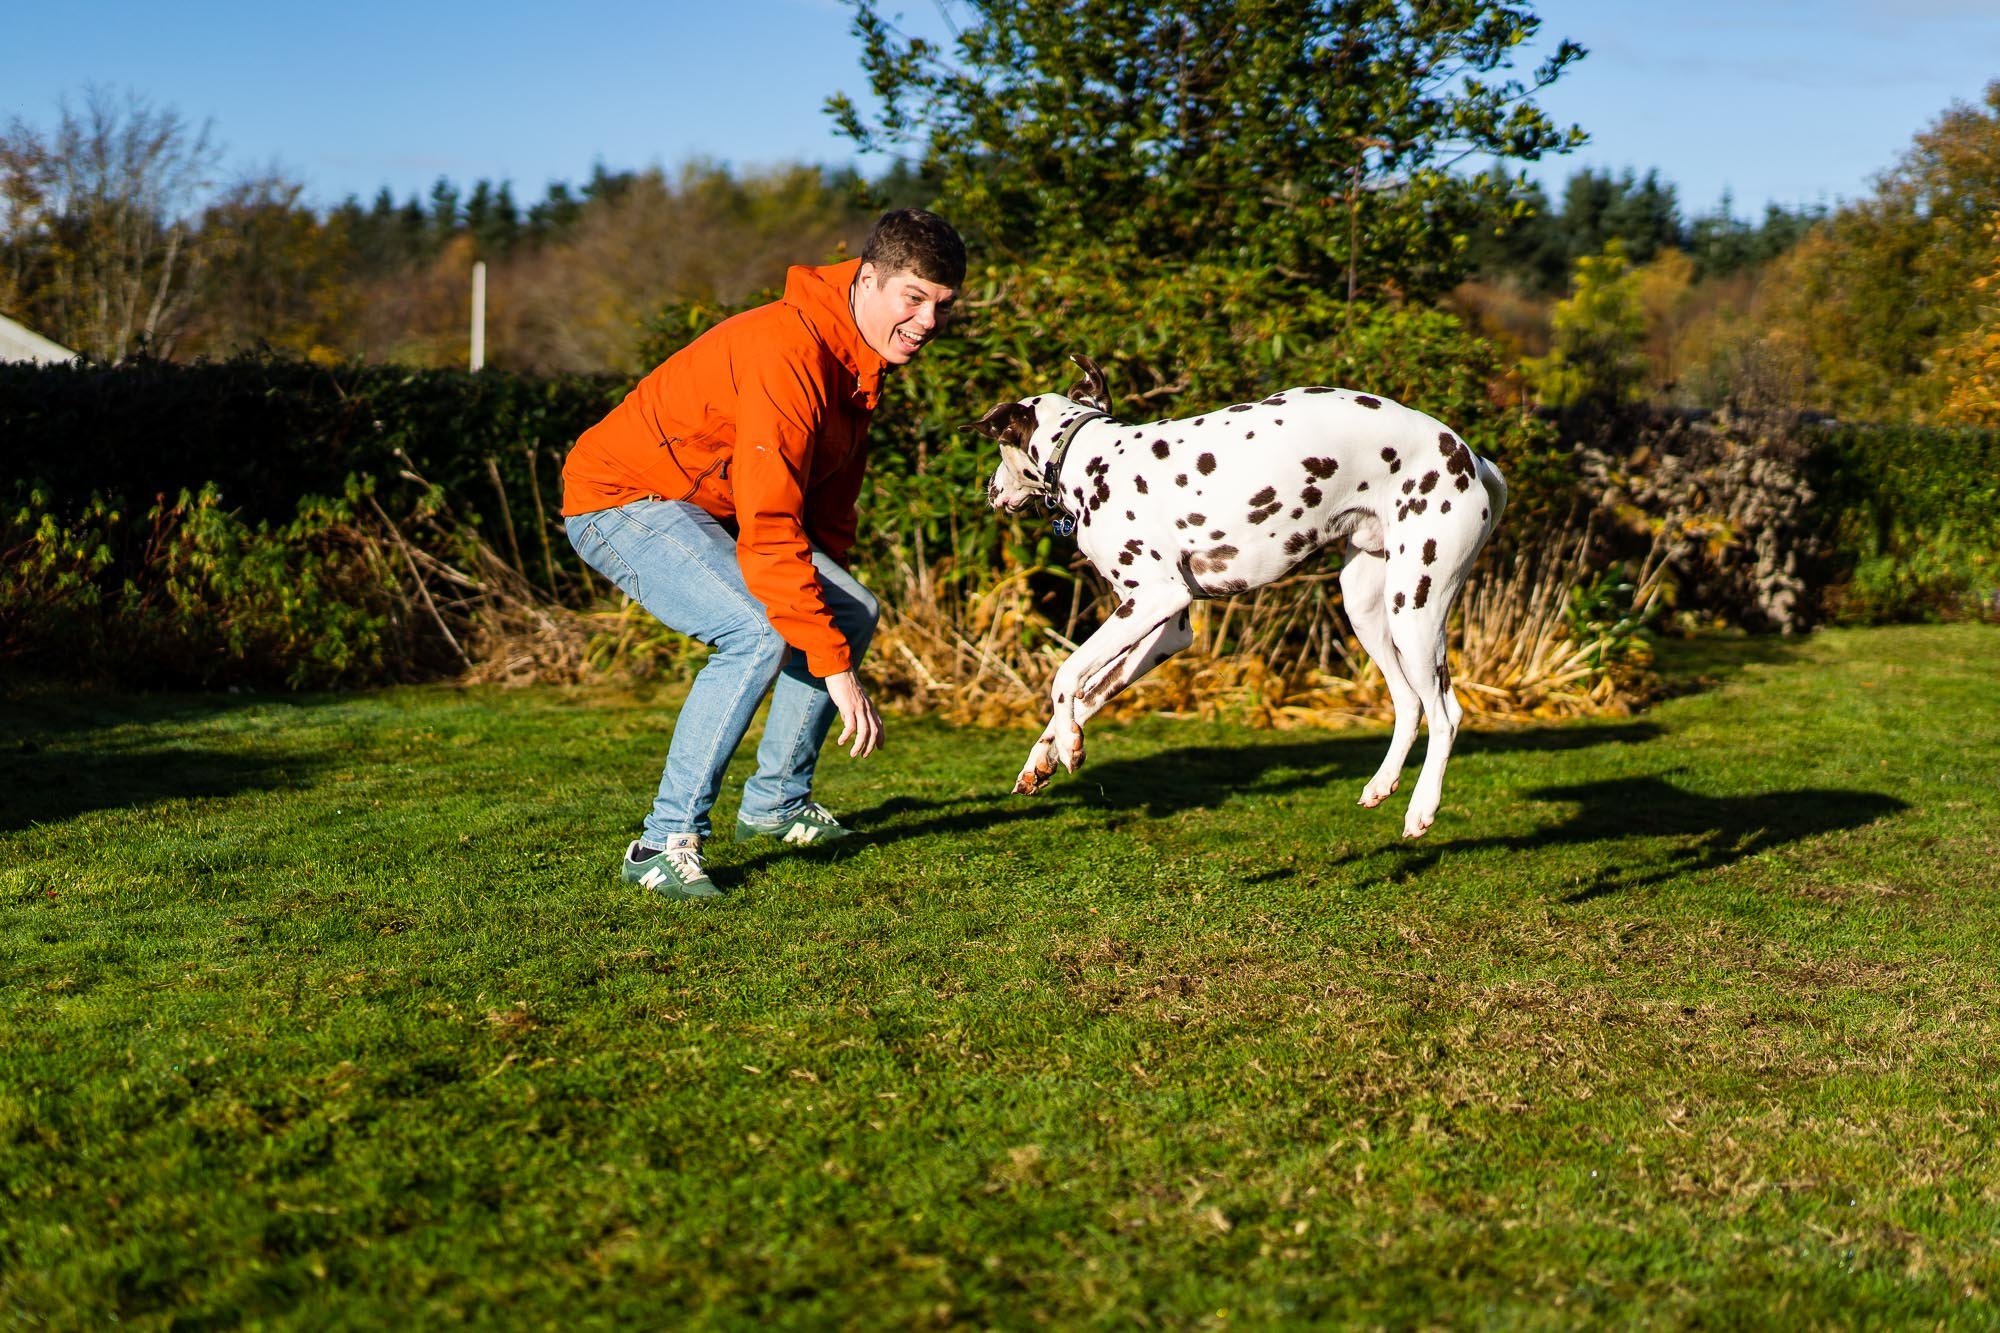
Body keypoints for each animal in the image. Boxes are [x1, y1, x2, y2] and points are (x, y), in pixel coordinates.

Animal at [964, 352, 1504, 832]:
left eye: (999, 449)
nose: (988, 488)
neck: (1092, 459)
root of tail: (1472, 457)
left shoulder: (1156, 600)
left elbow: (1065, 675)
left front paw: (1069, 747)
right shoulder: (1163, 631)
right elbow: (1089, 691)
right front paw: (1044, 758)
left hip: (1415, 612)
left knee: (1446, 713)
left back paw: (1422, 808)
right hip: (1367, 611)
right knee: (1409, 704)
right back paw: (1382, 784)